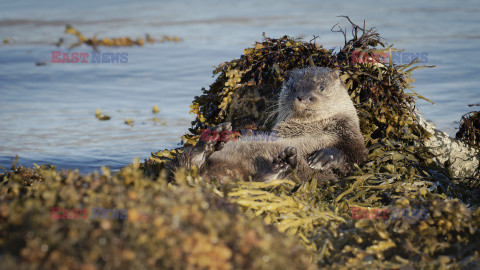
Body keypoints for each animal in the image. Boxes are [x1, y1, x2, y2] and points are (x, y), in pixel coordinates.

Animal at [171, 66, 366, 182]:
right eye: (293, 87)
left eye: (321, 87)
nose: (304, 97)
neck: (310, 128)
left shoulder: (350, 134)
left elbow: (353, 157)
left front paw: (324, 157)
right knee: (186, 165)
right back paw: (209, 142)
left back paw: (280, 167)